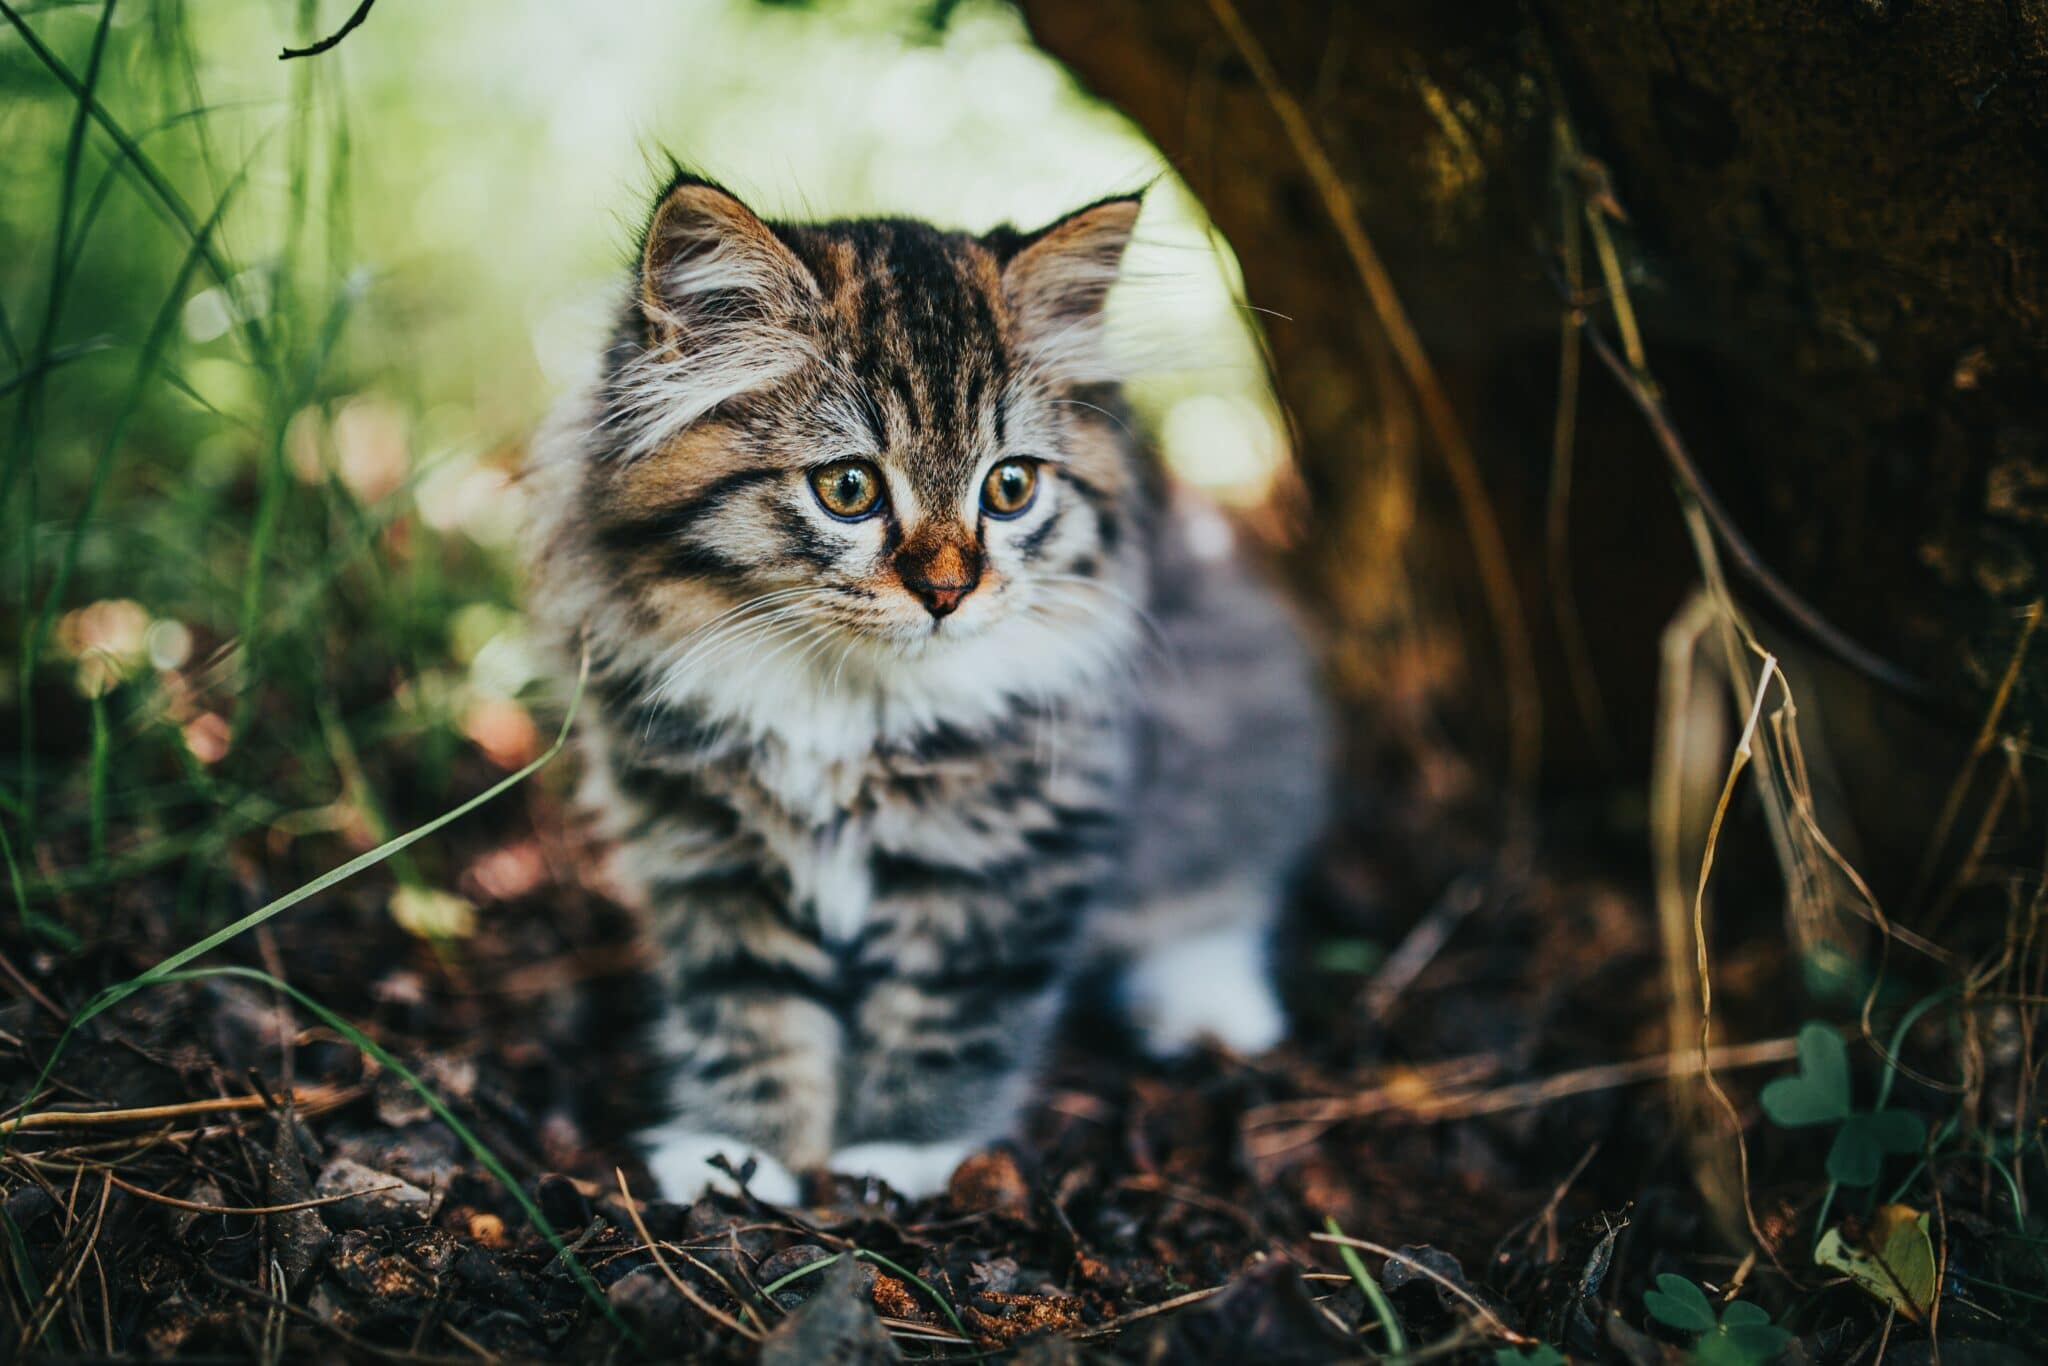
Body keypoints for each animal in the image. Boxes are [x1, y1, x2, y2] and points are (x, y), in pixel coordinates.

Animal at [528, 174, 1327, 1204]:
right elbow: (747, 1012)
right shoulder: (710, 858)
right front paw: (739, 1155)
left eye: (1011, 487)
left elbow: (942, 1022)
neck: (847, 710)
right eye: (849, 489)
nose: (947, 592)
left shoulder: (1003, 865)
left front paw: (898, 1152)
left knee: (1224, 885)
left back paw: (1209, 1004)